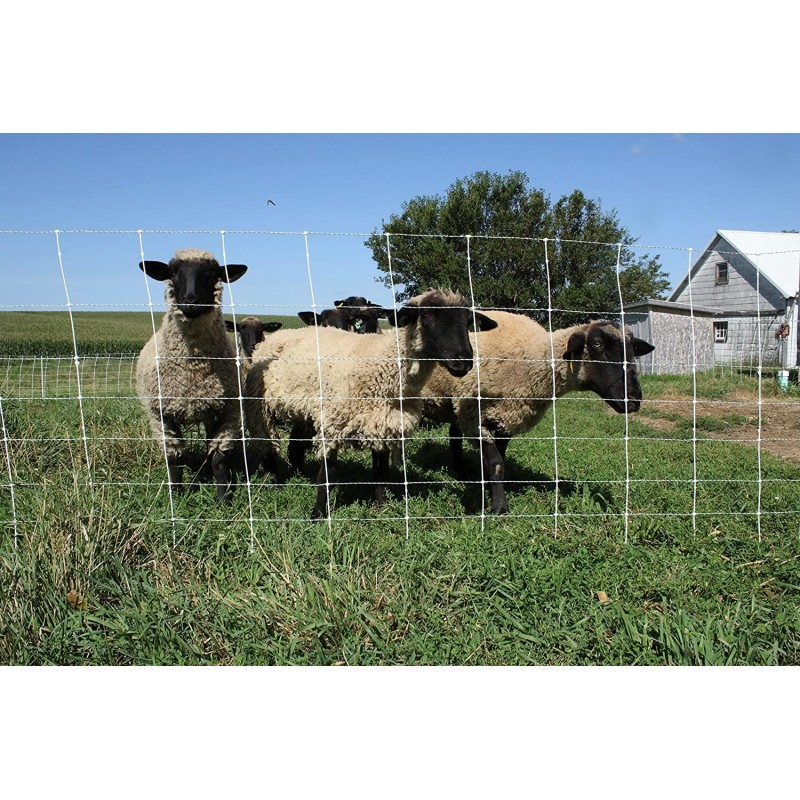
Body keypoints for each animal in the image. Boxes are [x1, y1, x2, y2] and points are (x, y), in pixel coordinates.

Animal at [136, 248, 248, 504]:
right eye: (173, 272)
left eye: (211, 273)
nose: (191, 301)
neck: (194, 367)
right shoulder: (161, 414)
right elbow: (174, 459)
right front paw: (176, 496)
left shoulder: (229, 411)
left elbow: (219, 460)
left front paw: (223, 500)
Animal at [245, 289, 497, 519]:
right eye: (426, 314)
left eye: (468, 322)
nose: (463, 361)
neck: (381, 363)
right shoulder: (333, 424)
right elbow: (327, 475)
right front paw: (318, 513)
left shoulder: (383, 424)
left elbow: (381, 471)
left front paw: (381, 506)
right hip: (260, 407)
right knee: (266, 442)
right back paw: (273, 479)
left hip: (305, 410)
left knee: (295, 444)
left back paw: (296, 472)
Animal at [421, 311, 655, 514]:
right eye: (596, 344)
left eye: (632, 350)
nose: (634, 400)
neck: (531, 359)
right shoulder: (474, 418)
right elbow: (496, 464)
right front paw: (499, 507)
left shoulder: (509, 417)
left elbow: (500, 460)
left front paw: (488, 488)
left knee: (454, 434)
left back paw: (462, 472)